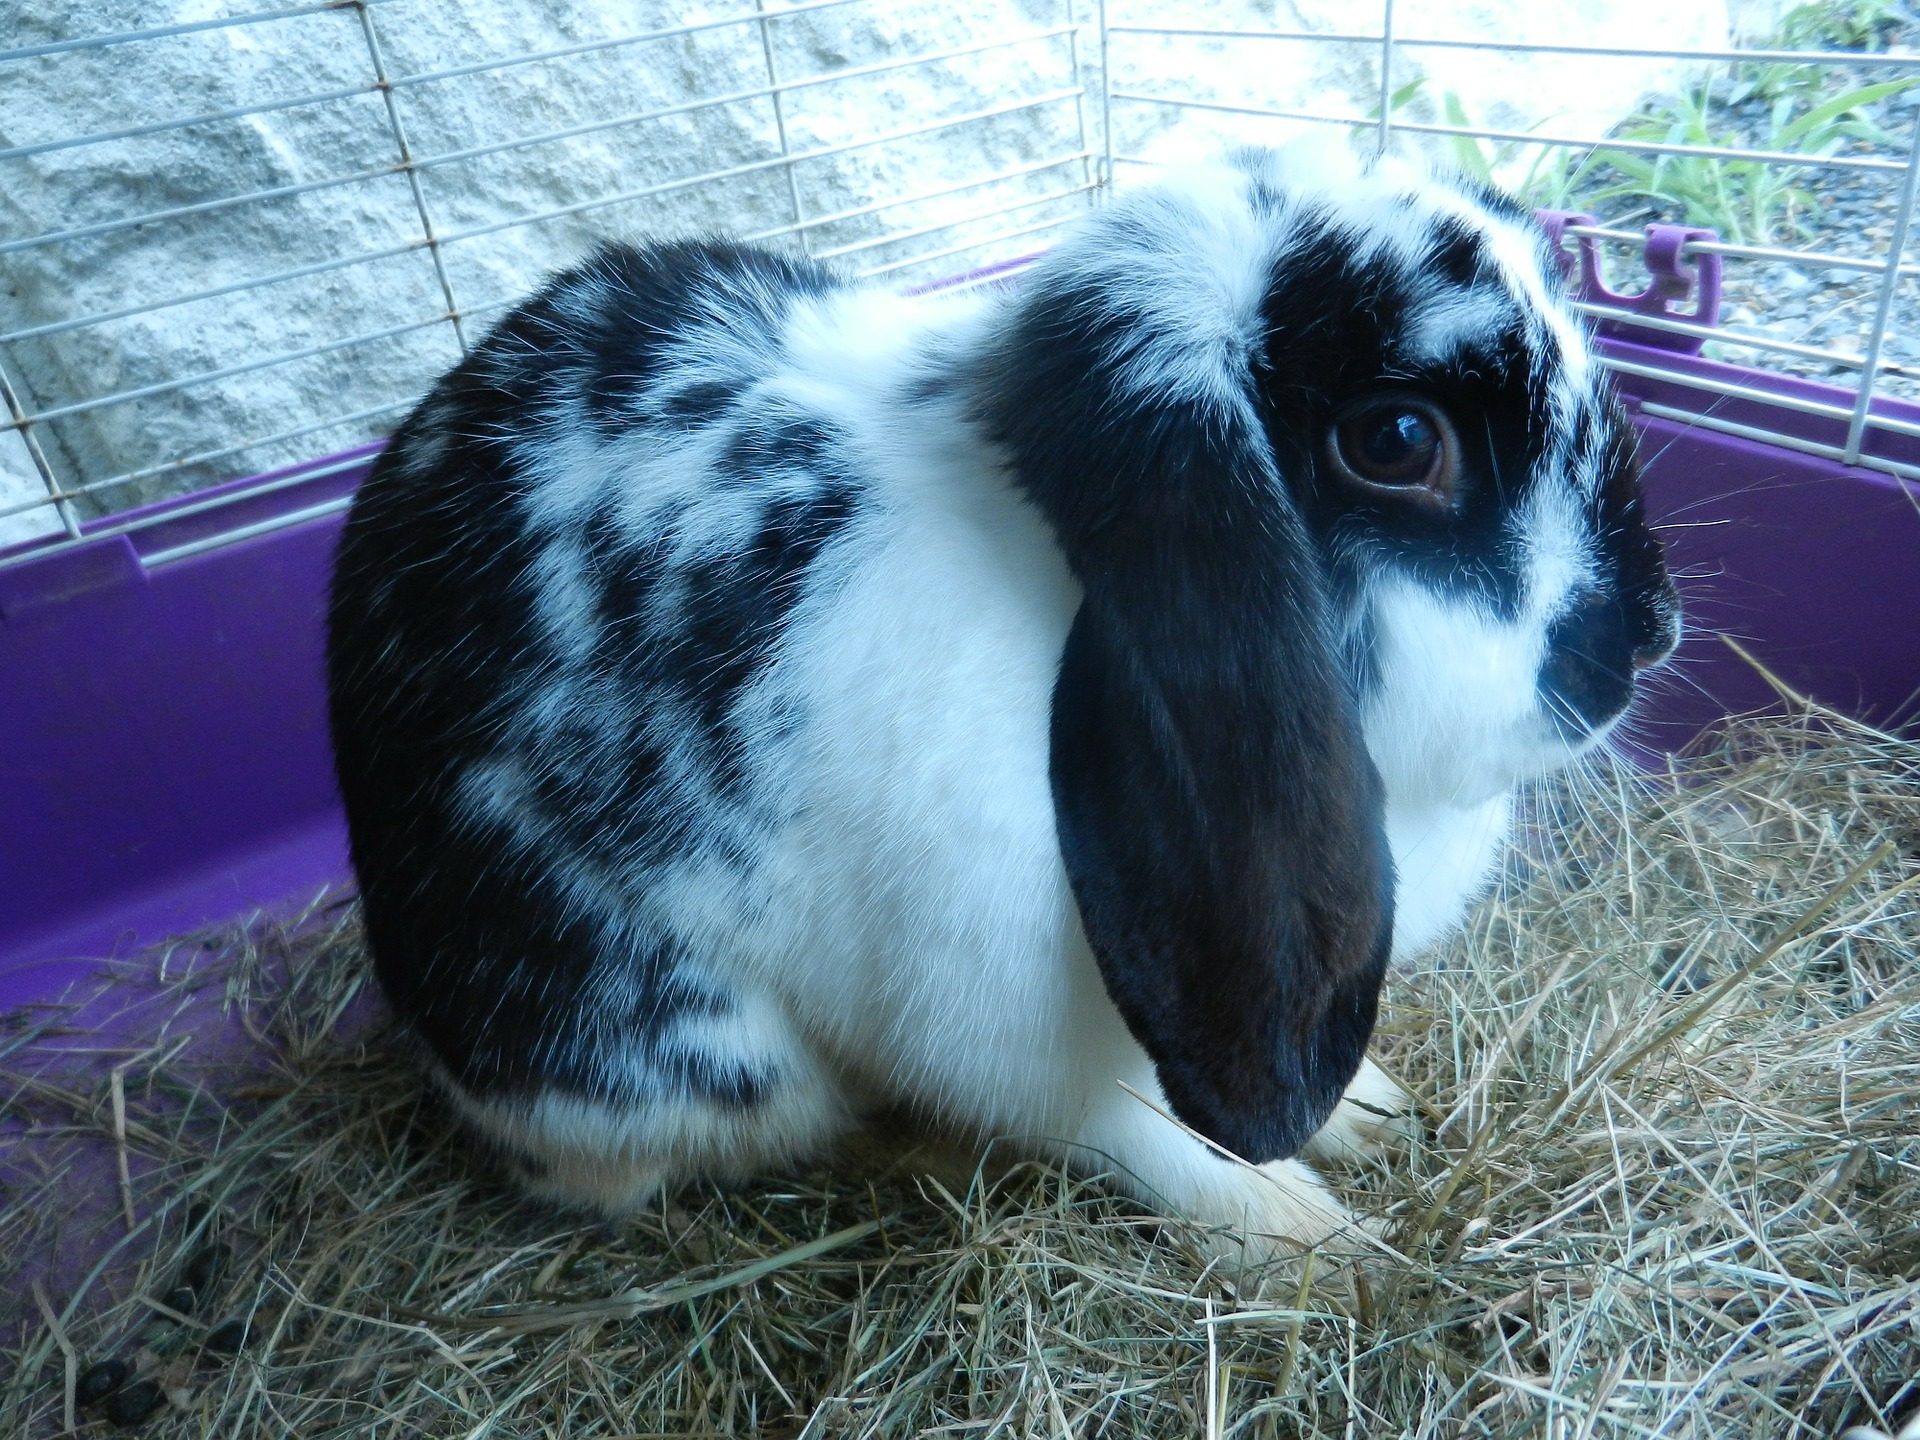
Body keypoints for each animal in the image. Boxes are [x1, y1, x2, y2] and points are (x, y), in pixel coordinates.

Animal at [327, 136, 1679, 1253]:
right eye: (1398, 441)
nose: (1643, 645)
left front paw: (1369, 1113)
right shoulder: (1013, 1032)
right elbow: (1140, 1136)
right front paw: (1313, 1241)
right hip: (677, 1060)